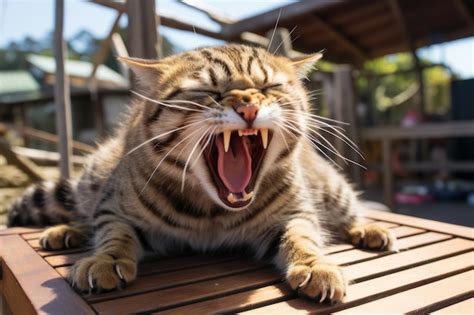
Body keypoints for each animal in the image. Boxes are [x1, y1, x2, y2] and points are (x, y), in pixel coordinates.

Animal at [7, 44, 394, 304]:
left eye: (269, 88)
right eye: (209, 91)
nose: (249, 106)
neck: (213, 213)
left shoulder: (294, 214)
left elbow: (302, 237)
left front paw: (314, 264)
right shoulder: (116, 209)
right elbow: (113, 233)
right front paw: (105, 259)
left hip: (333, 188)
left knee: (350, 212)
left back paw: (370, 229)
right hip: (94, 176)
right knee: (85, 213)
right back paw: (66, 231)